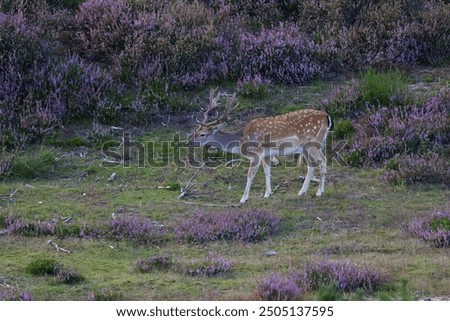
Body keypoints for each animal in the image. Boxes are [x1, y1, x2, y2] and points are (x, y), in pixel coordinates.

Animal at [187, 87, 334, 202]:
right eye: (195, 130)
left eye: (202, 134)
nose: (189, 142)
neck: (240, 140)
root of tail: (326, 117)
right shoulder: (266, 154)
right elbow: (267, 171)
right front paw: (267, 194)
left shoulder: (255, 153)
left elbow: (250, 175)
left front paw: (243, 199)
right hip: (305, 147)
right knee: (311, 164)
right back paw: (302, 192)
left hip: (312, 143)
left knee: (323, 160)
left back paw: (319, 192)